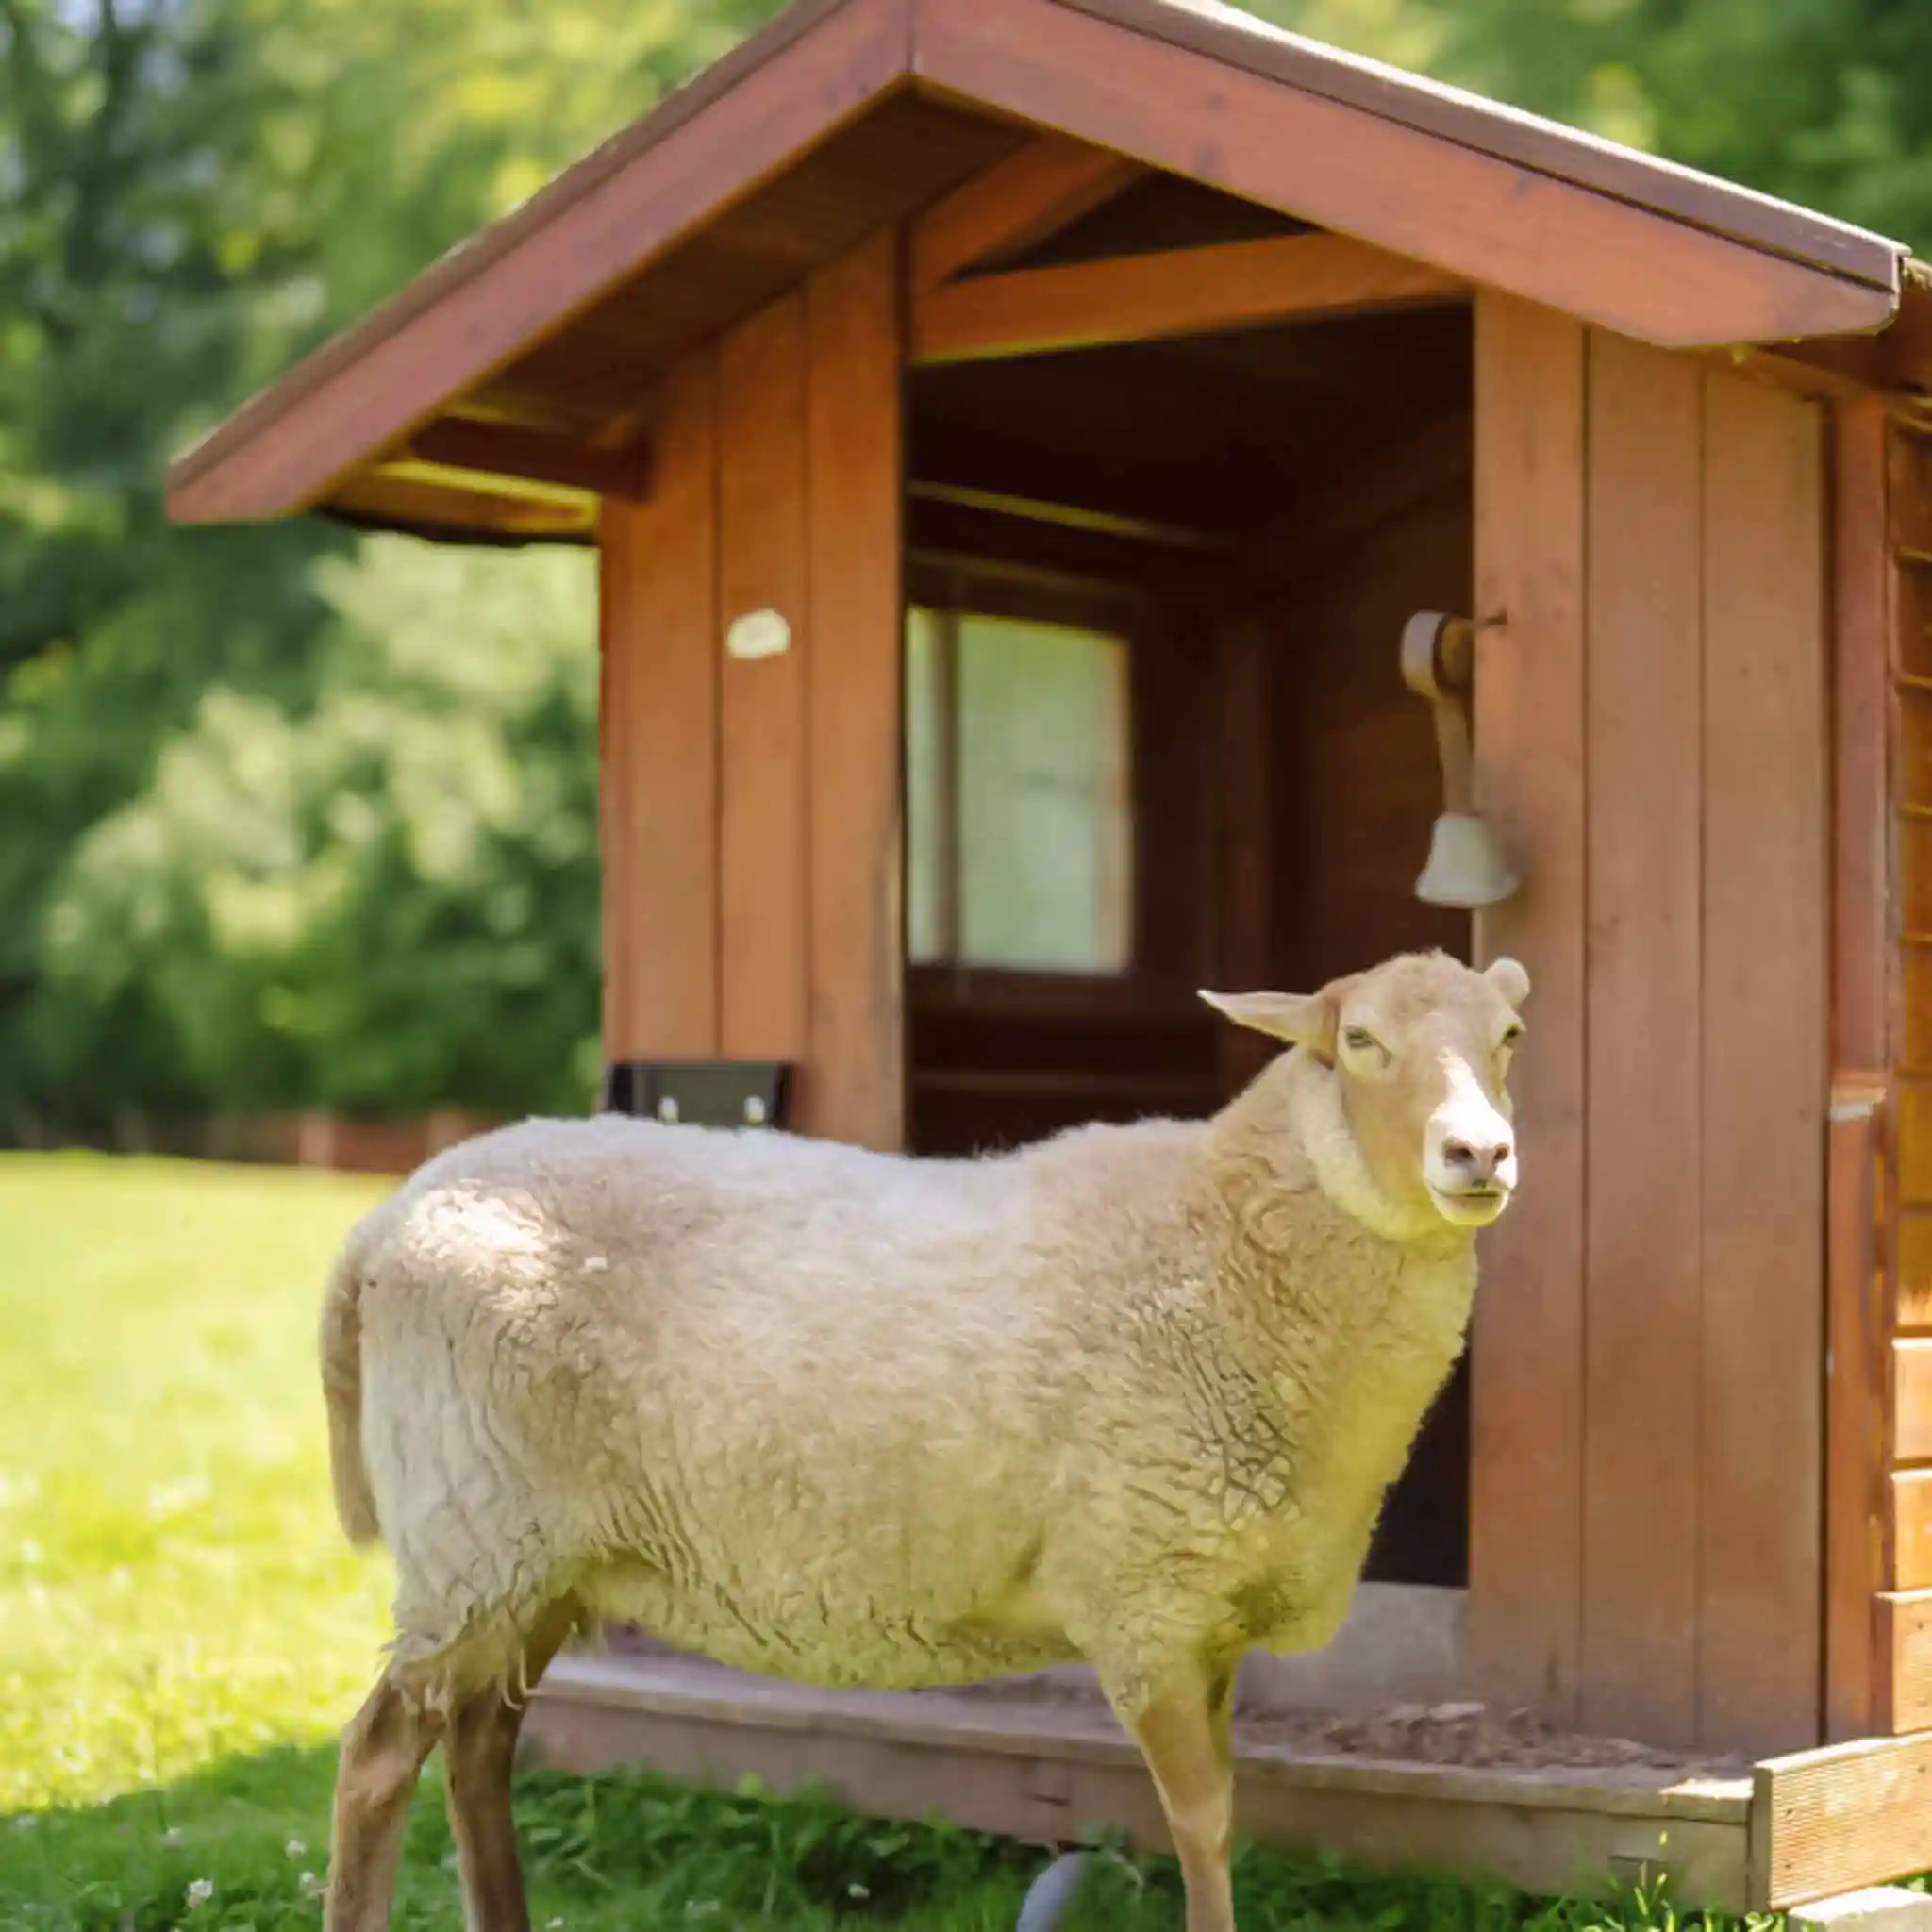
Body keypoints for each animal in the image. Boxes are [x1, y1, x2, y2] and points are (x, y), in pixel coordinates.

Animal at [317, 946, 1529, 1932]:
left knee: (477, 1746)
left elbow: (1216, 1812)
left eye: (1508, 1035)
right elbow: (1200, 1820)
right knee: (377, 1755)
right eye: (1359, 1039)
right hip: (474, 1535)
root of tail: (388, 1217)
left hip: (530, 1559)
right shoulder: (1144, 1595)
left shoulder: (1212, 1609)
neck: (1222, 1235)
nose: (1479, 1152)